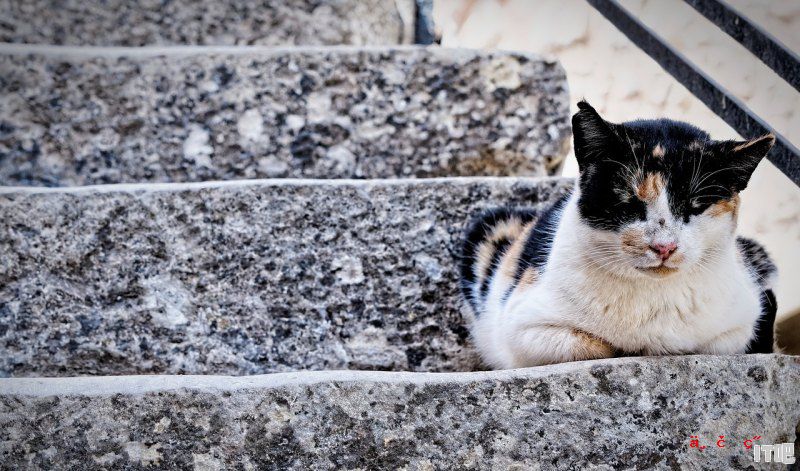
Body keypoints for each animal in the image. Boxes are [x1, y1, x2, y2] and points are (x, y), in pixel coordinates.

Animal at [460, 101, 780, 370]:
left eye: (696, 205)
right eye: (629, 203)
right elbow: (593, 345)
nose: (664, 247)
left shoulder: (742, 322)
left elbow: (719, 342)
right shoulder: (521, 326)